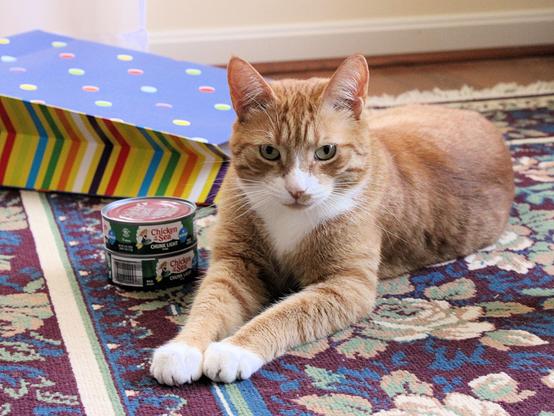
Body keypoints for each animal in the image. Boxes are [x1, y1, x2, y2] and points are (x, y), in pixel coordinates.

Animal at [149, 54, 512, 384]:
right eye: (269, 151)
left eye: (326, 151)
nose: (297, 189)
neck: (290, 216)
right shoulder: (237, 264)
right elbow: (209, 304)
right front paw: (182, 349)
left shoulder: (345, 285)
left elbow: (284, 314)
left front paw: (234, 348)